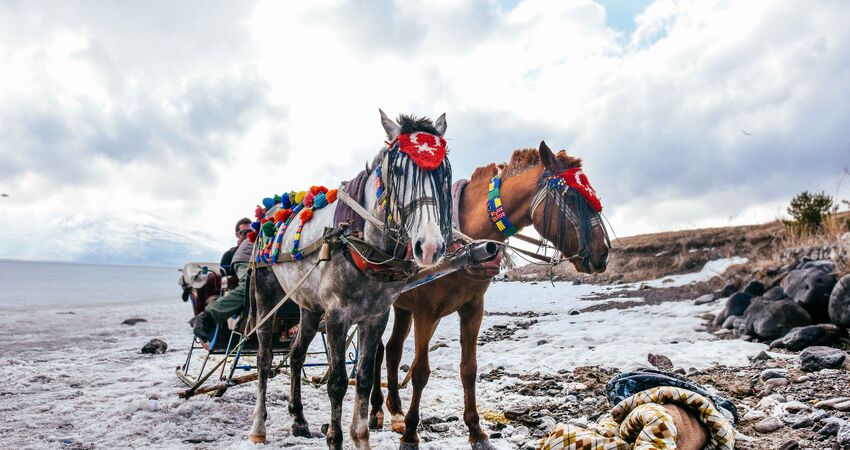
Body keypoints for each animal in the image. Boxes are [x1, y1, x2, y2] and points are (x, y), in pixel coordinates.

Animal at [248, 110, 454, 450]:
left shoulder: (375, 316)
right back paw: (258, 426)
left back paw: (299, 419)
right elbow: (338, 382)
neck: (361, 240)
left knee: (295, 355)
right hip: (266, 296)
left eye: (443, 173)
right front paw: (335, 438)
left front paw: (360, 437)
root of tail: (271, 212)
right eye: (398, 170)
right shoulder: (336, 316)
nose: (430, 246)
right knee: (264, 358)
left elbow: (365, 377)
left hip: (309, 306)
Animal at [372, 142, 608, 450]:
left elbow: (469, 369)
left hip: (402, 308)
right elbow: (421, 371)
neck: (465, 245)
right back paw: (376, 410)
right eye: (570, 196)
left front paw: (476, 431)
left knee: (392, 350)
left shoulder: (473, 309)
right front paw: (412, 433)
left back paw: (396, 411)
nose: (603, 253)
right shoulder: (425, 311)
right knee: (375, 351)